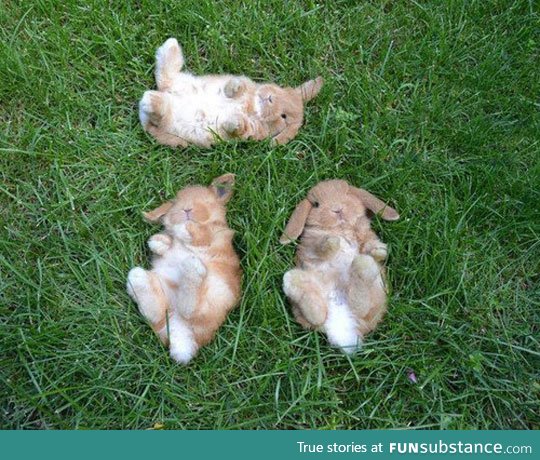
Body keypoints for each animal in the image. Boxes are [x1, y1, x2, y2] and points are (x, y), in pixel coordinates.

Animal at [126, 172, 240, 362]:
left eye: (207, 202)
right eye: (176, 204)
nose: (186, 210)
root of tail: (182, 334)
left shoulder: (214, 236)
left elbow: (200, 233)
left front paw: (184, 229)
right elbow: (168, 243)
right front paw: (157, 241)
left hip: (217, 293)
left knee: (192, 309)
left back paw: (192, 269)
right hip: (165, 298)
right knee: (158, 313)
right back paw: (138, 279)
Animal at [140, 38, 324, 149]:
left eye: (284, 117)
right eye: (281, 92)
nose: (270, 98)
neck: (252, 107)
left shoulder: (250, 131)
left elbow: (239, 127)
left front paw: (235, 120)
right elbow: (234, 89)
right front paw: (236, 85)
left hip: (170, 122)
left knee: (161, 107)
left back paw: (151, 100)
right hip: (183, 83)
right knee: (165, 77)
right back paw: (171, 47)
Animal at [280, 179, 398, 352]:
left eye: (347, 193)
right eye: (316, 204)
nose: (337, 209)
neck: (340, 229)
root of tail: (341, 327)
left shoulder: (365, 236)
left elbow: (369, 245)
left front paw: (380, 250)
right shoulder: (310, 245)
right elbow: (319, 247)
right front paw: (332, 242)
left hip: (376, 292)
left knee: (360, 305)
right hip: (298, 282)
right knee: (317, 316)